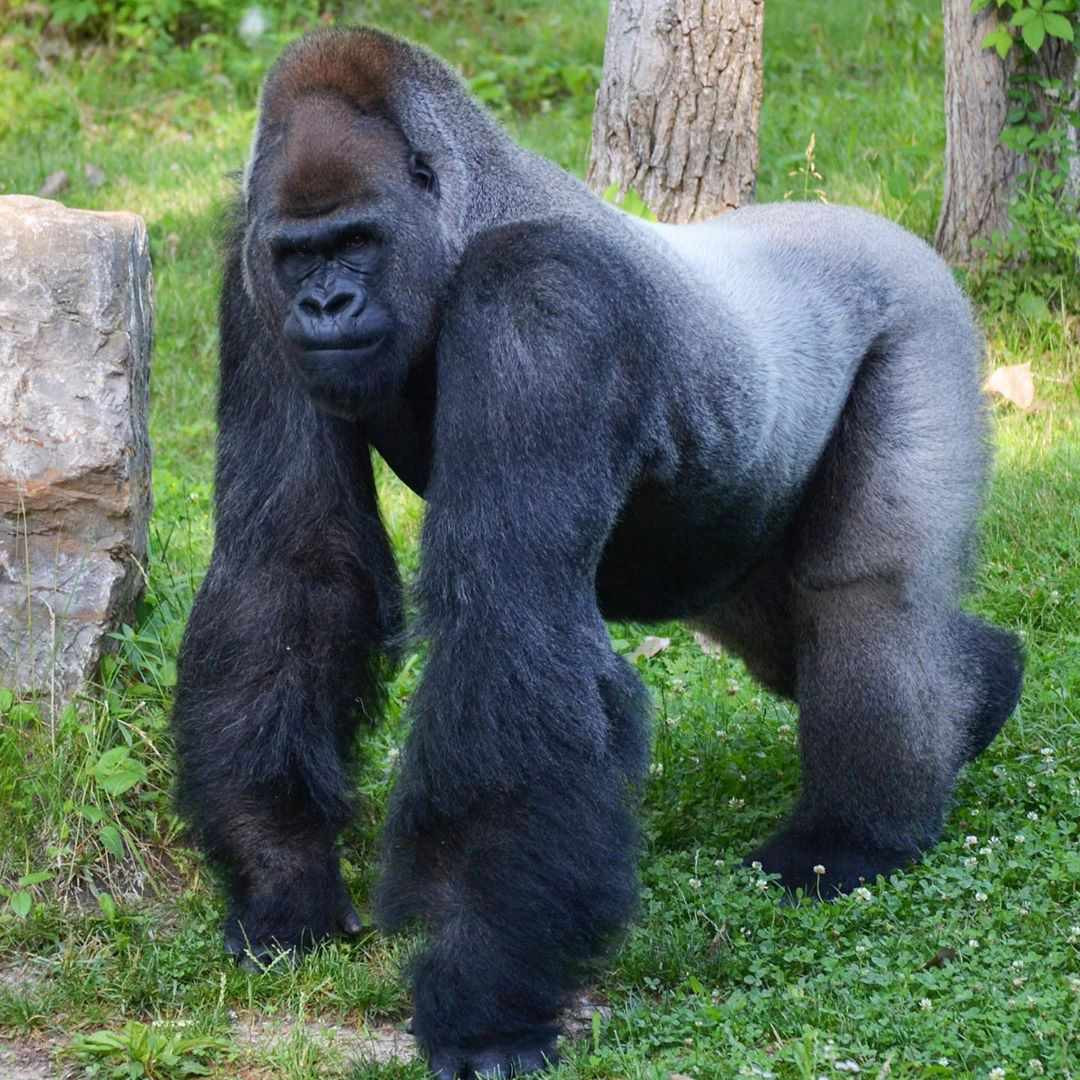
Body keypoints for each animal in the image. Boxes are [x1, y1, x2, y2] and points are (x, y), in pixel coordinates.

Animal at [172, 25, 1023, 1080]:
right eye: (299, 256)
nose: (326, 303)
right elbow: (292, 569)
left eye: (358, 242)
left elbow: (509, 620)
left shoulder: (543, 302)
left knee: (865, 595)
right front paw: (279, 879)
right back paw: (985, 683)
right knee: (785, 635)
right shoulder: (252, 294)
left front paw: (483, 1003)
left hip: (921, 319)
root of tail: (881, 231)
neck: (464, 223)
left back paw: (855, 837)